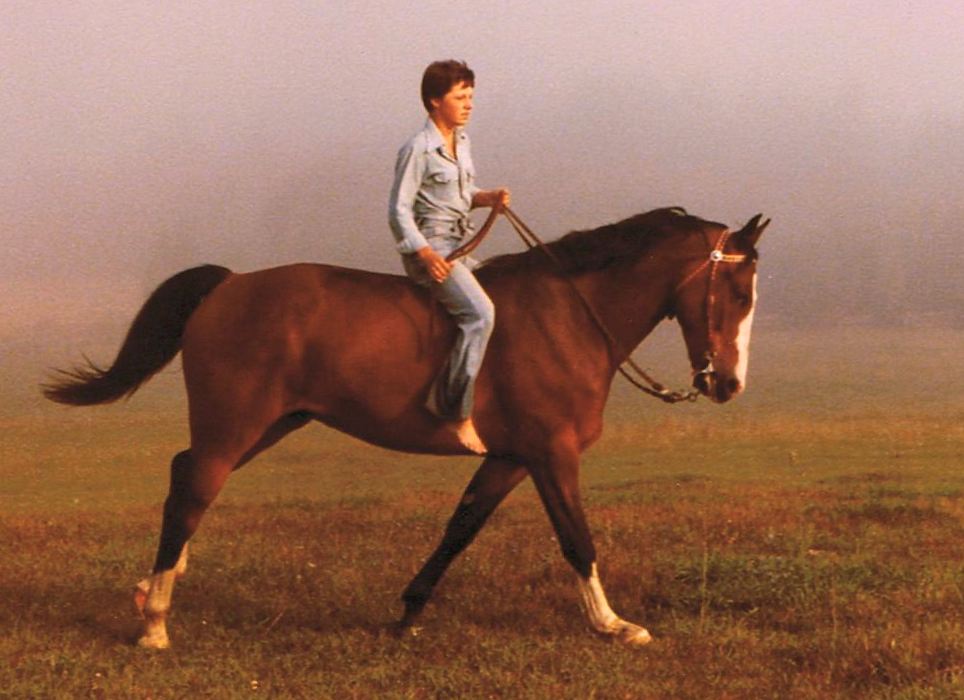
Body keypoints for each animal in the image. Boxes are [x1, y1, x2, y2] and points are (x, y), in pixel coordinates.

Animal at [44, 207, 768, 649]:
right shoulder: (552, 454)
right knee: (193, 490)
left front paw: (409, 611)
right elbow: (576, 540)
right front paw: (613, 624)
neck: (570, 316)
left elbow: (460, 528)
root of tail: (229, 284)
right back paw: (156, 624)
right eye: (738, 295)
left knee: (183, 478)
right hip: (236, 426)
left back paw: (152, 589)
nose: (729, 384)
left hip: (270, 424)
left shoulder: (509, 458)